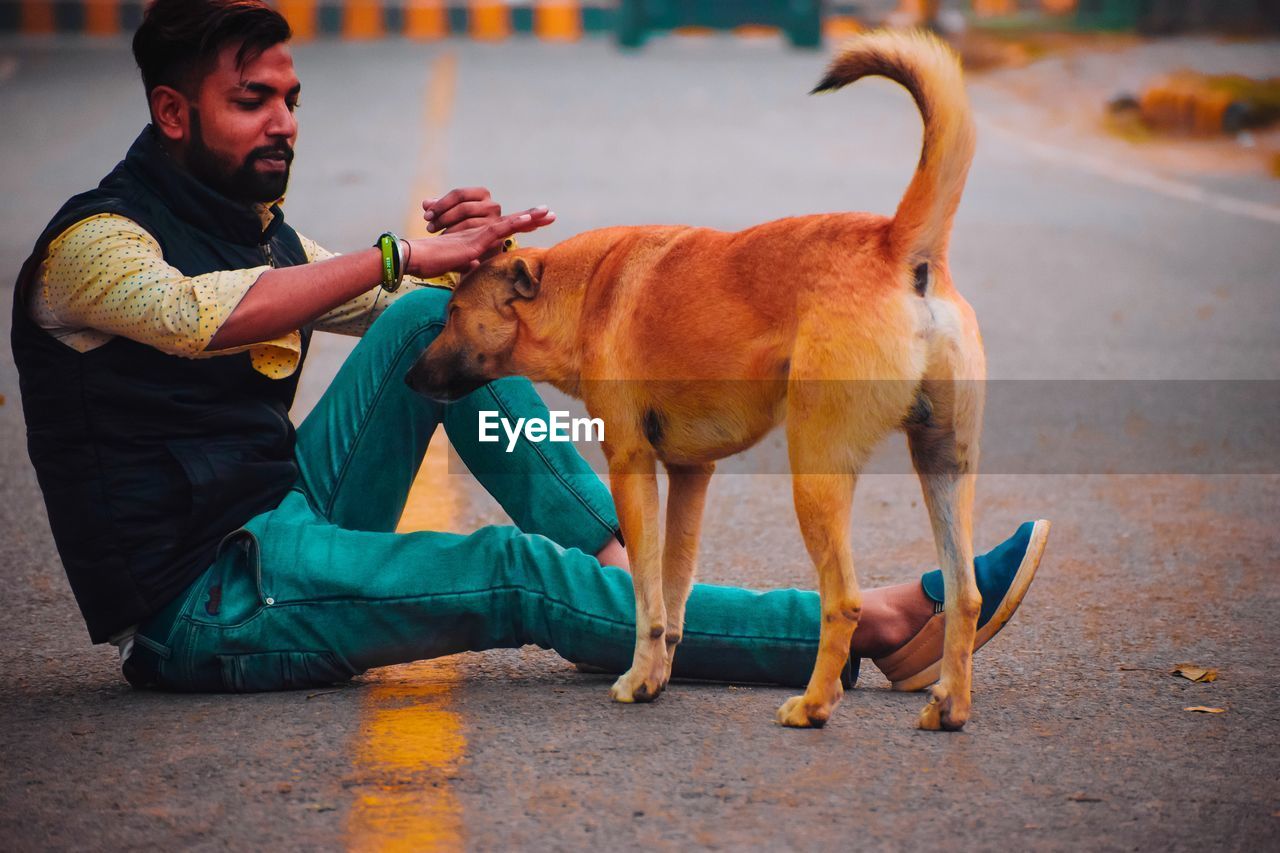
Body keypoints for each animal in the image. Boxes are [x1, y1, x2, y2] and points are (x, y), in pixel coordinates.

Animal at [407, 29, 977, 727]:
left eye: (452, 316)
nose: (408, 375)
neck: (583, 289)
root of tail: (897, 245)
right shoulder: (689, 474)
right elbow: (675, 592)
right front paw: (657, 677)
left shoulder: (631, 464)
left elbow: (646, 595)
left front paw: (635, 678)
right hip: (942, 465)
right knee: (965, 594)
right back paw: (949, 706)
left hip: (816, 472)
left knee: (844, 599)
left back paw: (813, 705)